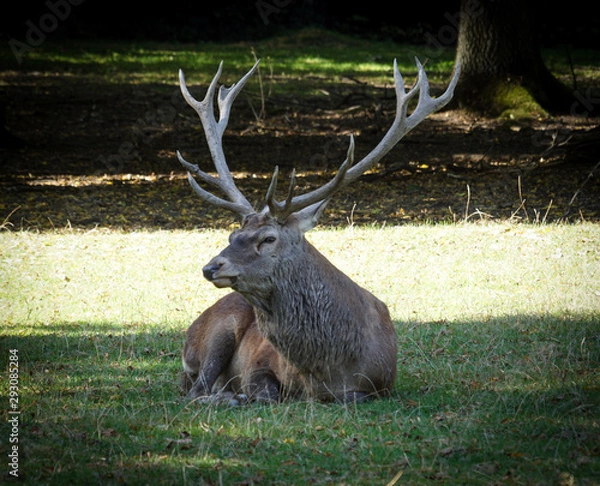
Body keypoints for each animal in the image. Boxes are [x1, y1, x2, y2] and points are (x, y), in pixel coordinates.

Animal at [177, 59, 460, 402]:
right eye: (232, 236)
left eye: (268, 238)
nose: (211, 267)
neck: (327, 371)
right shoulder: (260, 364)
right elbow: (264, 393)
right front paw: (241, 396)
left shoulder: (380, 385)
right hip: (218, 329)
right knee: (196, 390)